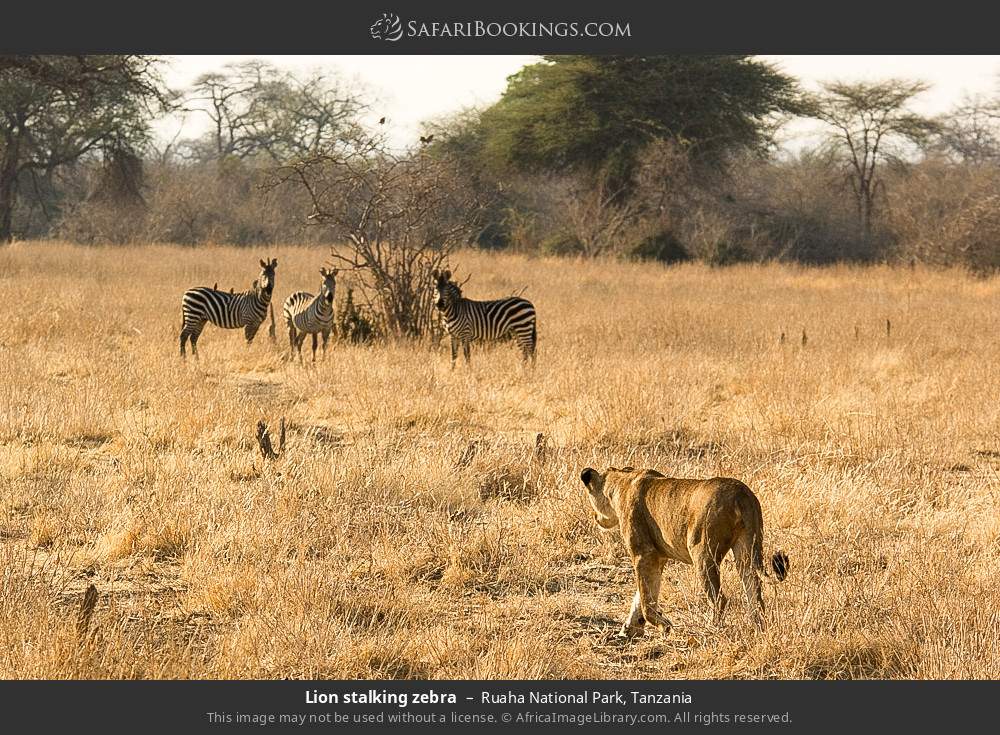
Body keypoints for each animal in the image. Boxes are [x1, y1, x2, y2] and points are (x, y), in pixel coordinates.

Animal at [580, 466, 788, 637]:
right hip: (747, 549)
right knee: (755, 594)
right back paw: (759, 629)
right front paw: (629, 628)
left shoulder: (643, 553)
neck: (621, 481)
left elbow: (646, 599)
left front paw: (664, 626)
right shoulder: (658, 557)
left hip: (703, 553)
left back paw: (711, 629)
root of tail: (742, 493)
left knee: (719, 599)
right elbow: (641, 596)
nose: (595, 517)